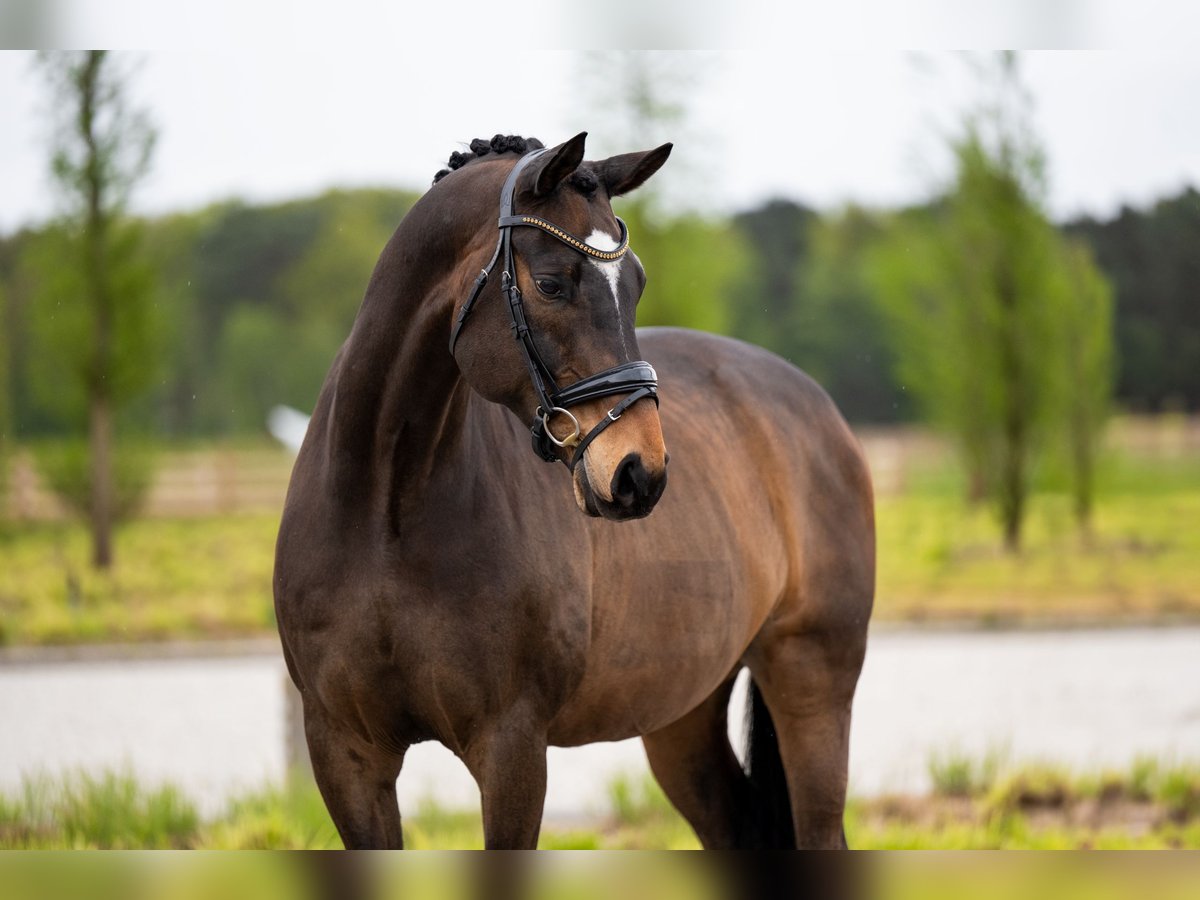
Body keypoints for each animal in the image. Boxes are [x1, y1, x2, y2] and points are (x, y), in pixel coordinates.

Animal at [272, 133, 873, 854]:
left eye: (635, 283)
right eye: (552, 283)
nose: (640, 472)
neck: (386, 510)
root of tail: (816, 407)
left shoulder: (511, 747)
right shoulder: (346, 754)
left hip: (810, 681)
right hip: (682, 715)